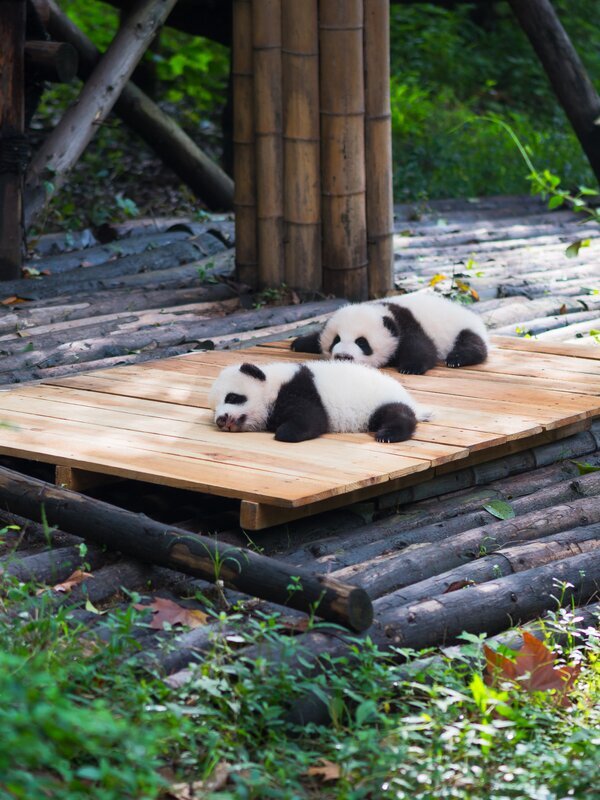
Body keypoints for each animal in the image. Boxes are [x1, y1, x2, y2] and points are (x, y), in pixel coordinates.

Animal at [208, 360, 430, 443]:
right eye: (214, 409)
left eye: (232, 397)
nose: (221, 419)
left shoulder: (298, 390)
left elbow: (312, 420)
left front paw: (284, 432)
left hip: (380, 400)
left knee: (397, 414)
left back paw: (387, 434)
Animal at [292, 291, 489, 374]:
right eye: (336, 340)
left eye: (362, 342)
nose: (343, 356)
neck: (384, 311)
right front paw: (299, 343)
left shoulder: (407, 325)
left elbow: (422, 348)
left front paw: (410, 368)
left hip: (463, 328)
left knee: (471, 344)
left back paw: (456, 359)